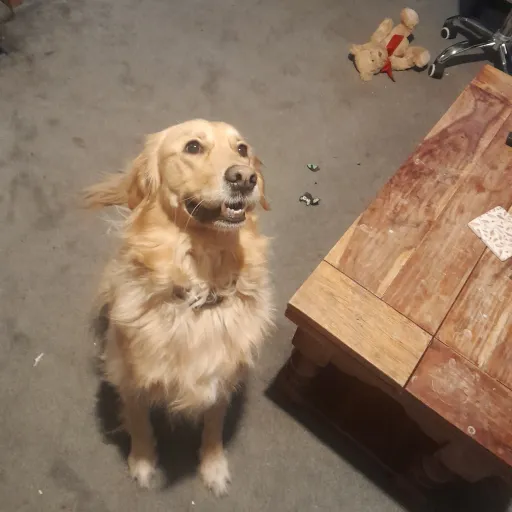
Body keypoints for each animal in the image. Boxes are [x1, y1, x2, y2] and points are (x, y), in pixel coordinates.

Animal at [83, 119, 273, 495]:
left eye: (242, 149)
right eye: (193, 147)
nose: (244, 178)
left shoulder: (221, 378)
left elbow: (214, 425)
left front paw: (213, 466)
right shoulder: (129, 376)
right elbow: (139, 422)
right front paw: (142, 461)